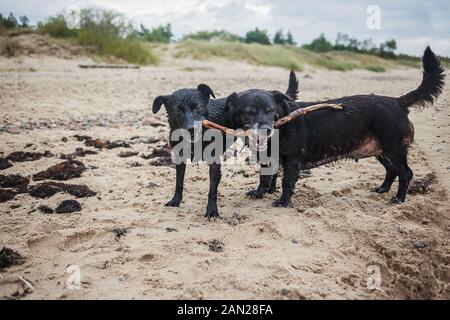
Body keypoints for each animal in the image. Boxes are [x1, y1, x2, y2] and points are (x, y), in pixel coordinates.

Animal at [152, 72, 298, 218]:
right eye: (178, 109)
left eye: (197, 107)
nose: (192, 128)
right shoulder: (179, 159)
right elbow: (179, 182)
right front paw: (175, 200)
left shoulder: (215, 163)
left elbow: (212, 190)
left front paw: (211, 210)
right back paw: (270, 189)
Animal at [224, 47, 442, 208]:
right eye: (250, 112)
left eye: (270, 110)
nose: (266, 129)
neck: (282, 126)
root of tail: (398, 101)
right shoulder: (269, 160)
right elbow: (264, 178)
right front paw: (260, 193)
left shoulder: (293, 160)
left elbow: (287, 183)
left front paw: (283, 202)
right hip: (382, 152)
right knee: (392, 170)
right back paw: (383, 189)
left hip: (394, 149)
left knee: (406, 173)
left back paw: (398, 199)